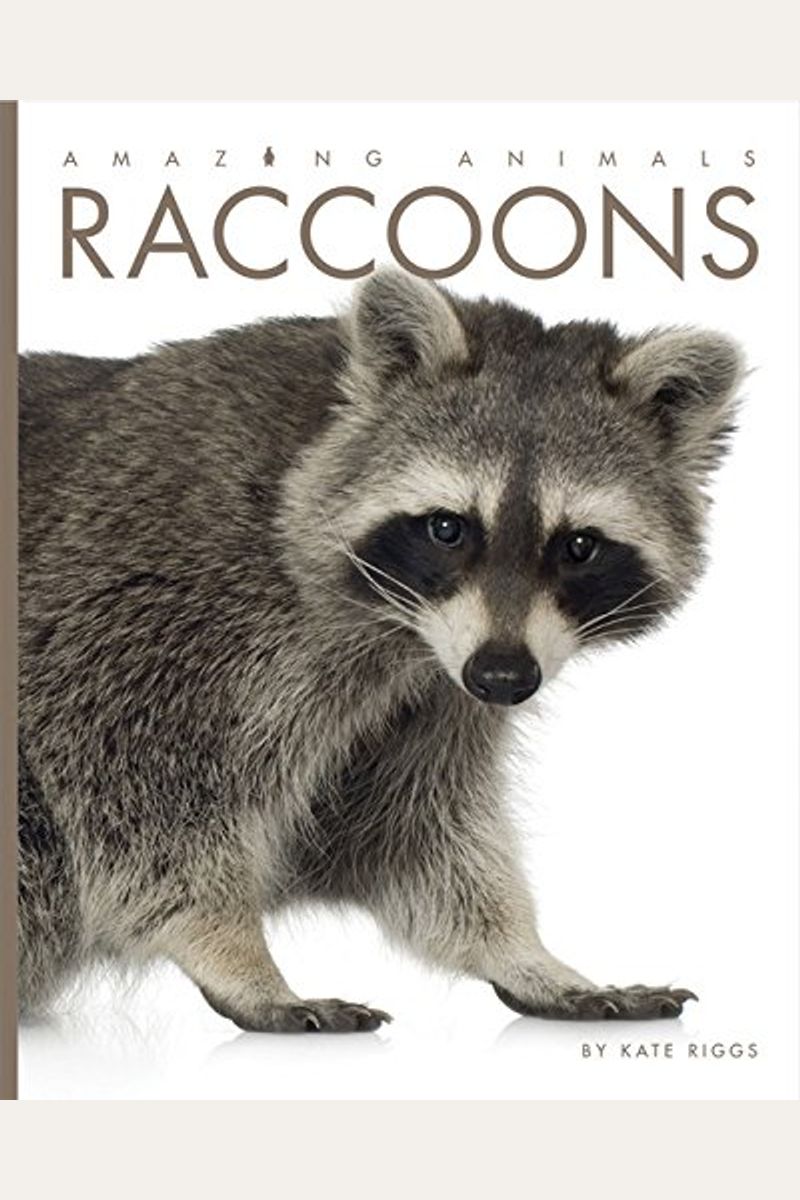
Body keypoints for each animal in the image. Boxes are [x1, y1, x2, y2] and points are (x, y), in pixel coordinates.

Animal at [18, 269, 742, 1031]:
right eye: (448, 528)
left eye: (579, 546)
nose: (504, 677)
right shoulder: (151, 598)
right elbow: (134, 784)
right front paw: (232, 948)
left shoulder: (436, 689)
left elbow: (418, 829)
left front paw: (520, 950)